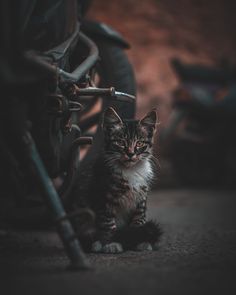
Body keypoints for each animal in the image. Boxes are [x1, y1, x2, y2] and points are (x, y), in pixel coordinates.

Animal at [74, 107, 161, 253]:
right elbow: (108, 225)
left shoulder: (141, 199)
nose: (131, 153)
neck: (131, 170)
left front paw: (139, 240)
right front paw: (111, 243)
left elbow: (139, 221)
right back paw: (96, 244)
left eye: (139, 143)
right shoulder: (103, 199)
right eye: (120, 143)